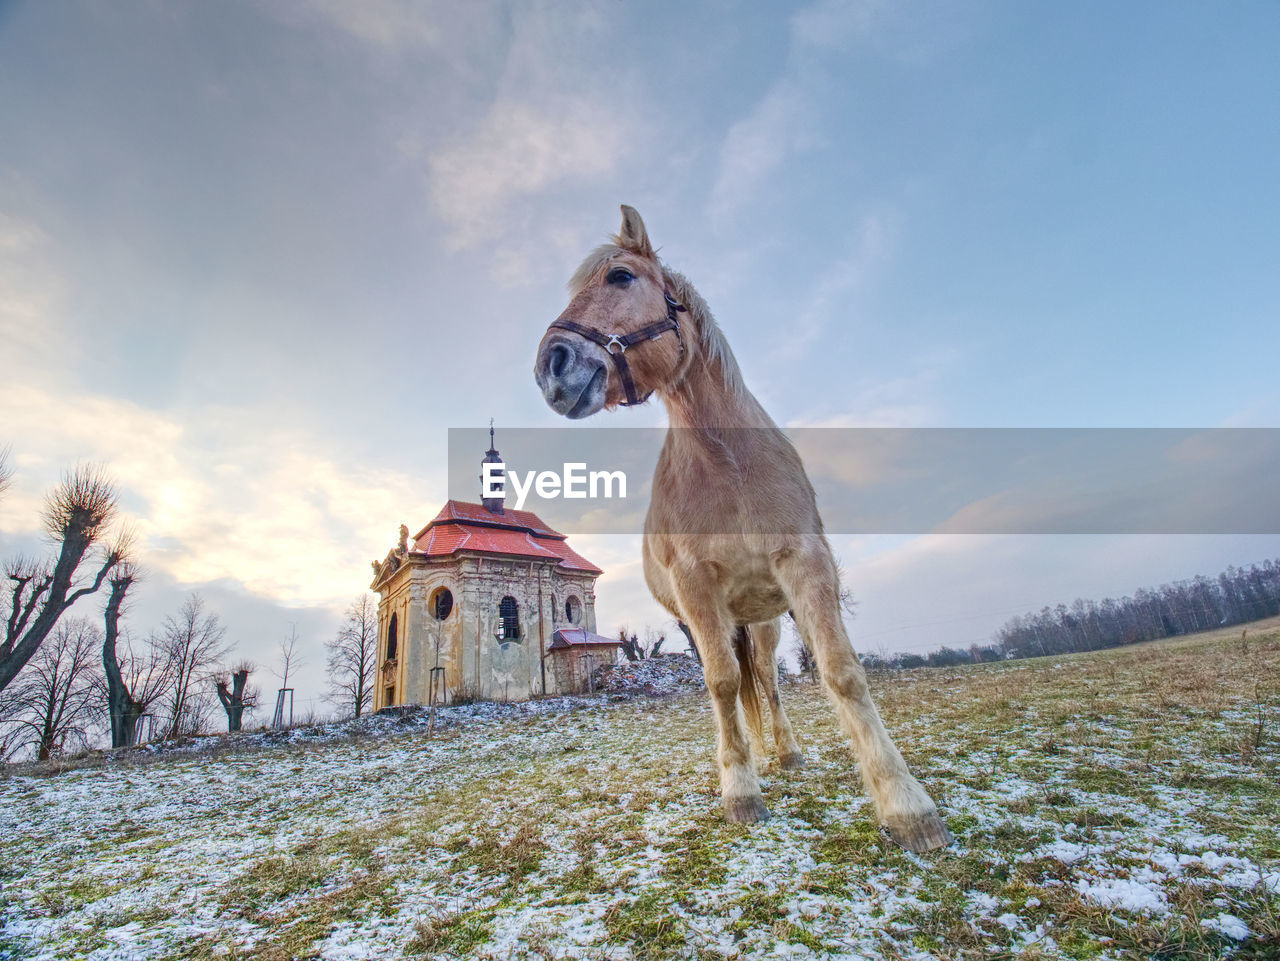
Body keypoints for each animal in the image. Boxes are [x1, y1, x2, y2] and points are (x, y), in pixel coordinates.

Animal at [529, 207, 952, 854]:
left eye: (621, 277)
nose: (550, 367)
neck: (728, 463)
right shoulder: (698, 592)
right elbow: (724, 684)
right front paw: (740, 790)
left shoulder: (806, 566)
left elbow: (841, 673)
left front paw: (906, 806)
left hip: (769, 619)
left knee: (771, 683)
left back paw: (787, 752)